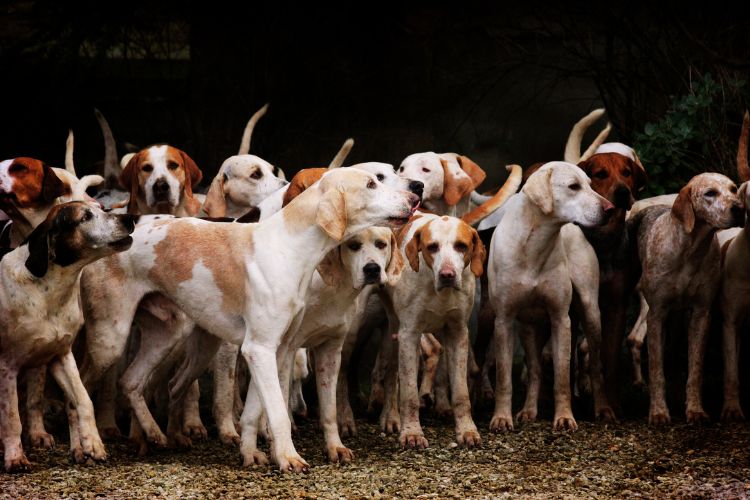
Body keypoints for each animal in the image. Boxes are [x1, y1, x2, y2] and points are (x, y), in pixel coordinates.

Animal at [0, 201, 134, 470]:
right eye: (85, 217)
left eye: (102, 208)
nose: (131, 219)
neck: (47, 290)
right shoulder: (6, 365)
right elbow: (11, 418)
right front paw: (15, 457)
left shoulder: (61, 356)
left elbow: (83, 400)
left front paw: (92, 443)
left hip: (39, 362)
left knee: (34, 402)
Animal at [490, 163, 612, 430]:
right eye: (573, 186)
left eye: (591, 184)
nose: (610, 208)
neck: (534, 244)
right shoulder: (503, 321)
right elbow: (503, 377)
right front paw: (501, 417)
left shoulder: (560, 319)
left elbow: (562, 376)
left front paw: (565, 417)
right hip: (528, 328)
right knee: (535, 370)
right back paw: (528, 410)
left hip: (591, 314)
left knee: (596, 366)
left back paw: (603, 408)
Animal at [636, 174, 748, 424]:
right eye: (709, 193)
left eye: (733, 189)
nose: (739, 208)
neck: (690, 250)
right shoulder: (656, 315)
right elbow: (656, 370)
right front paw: (658, 412)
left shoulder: (701, 315)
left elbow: (695, 369)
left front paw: (695, 410)